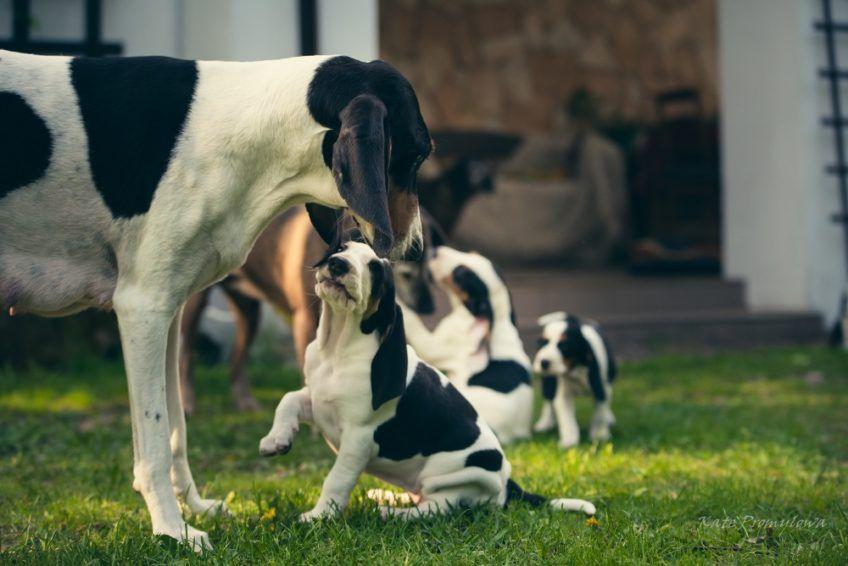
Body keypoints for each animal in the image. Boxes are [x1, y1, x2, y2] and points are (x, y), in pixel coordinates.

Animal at [536, 312, 616, 450]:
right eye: (542, 344)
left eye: (564, 345)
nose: (544, 362)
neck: (575, 369)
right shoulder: (562, 394)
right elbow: (567, 419)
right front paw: (569, 441)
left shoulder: (601, 388)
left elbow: (600, 410)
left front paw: (599, 434)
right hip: (548, 383)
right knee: (548, 400)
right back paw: (545, 422)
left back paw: (609, 417)